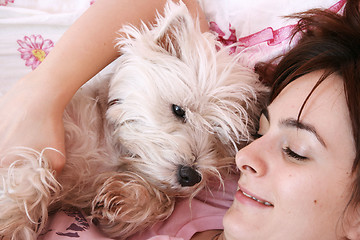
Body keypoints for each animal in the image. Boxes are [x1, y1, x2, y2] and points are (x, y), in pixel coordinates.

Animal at [0, 0, 268, 239]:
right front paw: (11, 224)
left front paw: (125, 200)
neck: (109, 149)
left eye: (219, 137)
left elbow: (162, 202)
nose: (190, 176)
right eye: (178, 110)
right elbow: (33, 173)